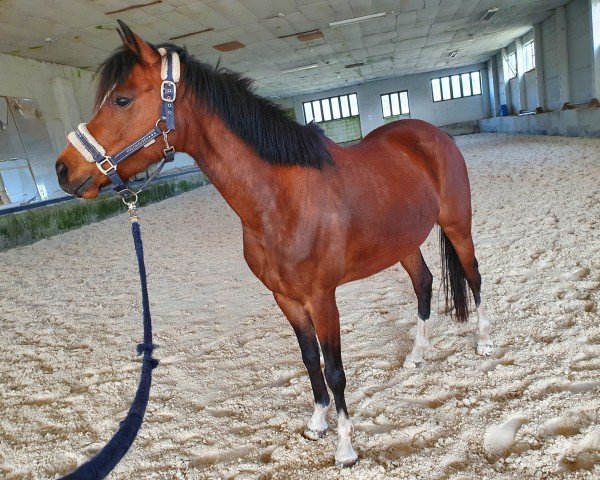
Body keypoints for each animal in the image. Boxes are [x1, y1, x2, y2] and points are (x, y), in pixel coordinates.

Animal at [56, 22, 494, 468]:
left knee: (474, 276)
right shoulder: (285, 298)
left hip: (458, 225)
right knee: (423, 284)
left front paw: (345, 448)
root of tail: (431, 134)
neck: (280, 200)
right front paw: (317, 424)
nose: (63, 170)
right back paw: (417, 355)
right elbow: (310, 360)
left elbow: (335, 369)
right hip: (403, 242)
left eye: (122, 99)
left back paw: (484, 342)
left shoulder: (322, 298)